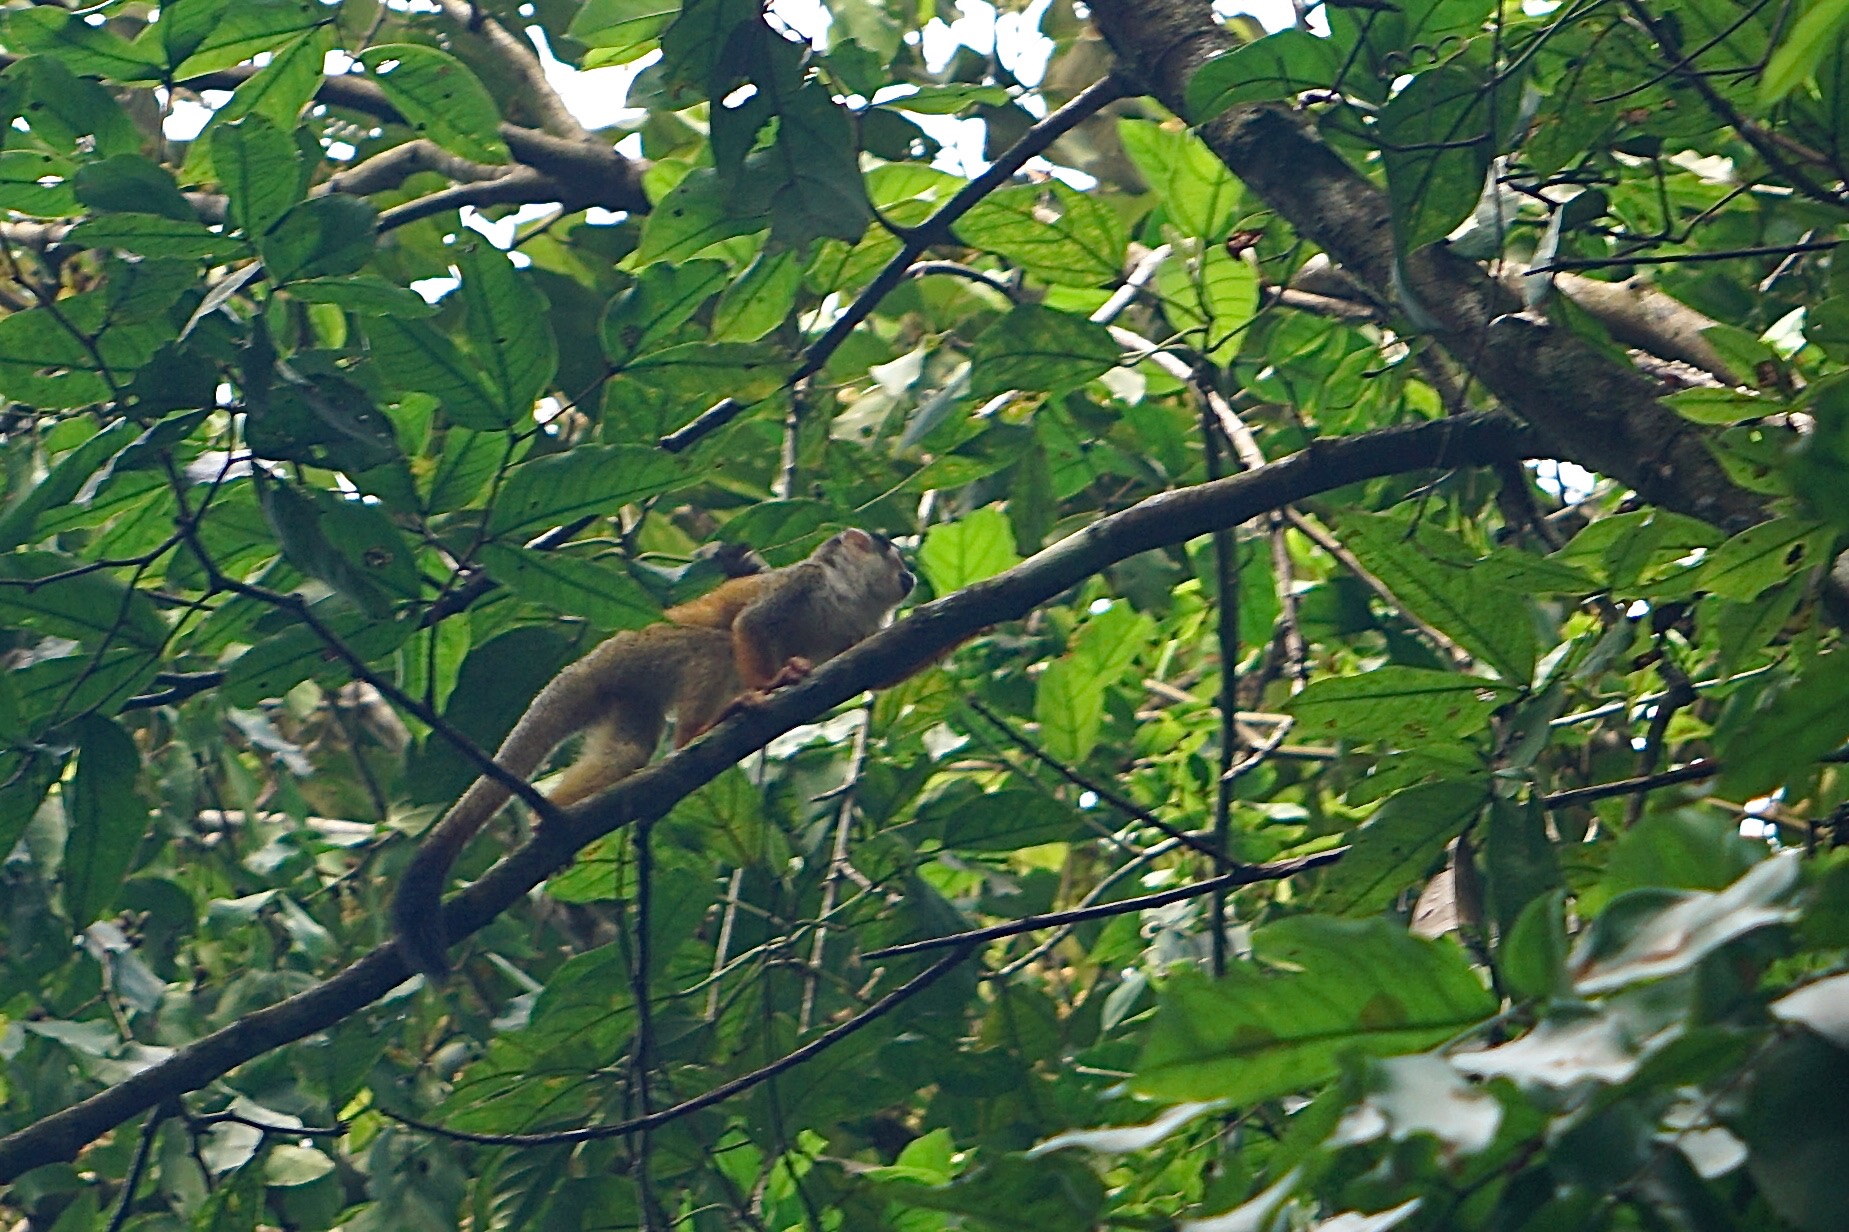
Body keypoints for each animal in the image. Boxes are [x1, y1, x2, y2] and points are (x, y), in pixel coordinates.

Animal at [391, 528, 916, 978]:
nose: (911, 572)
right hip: (647, 647)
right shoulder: (802, 581)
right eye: (893, 552)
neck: (845, 594)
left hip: (627, 694)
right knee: (714, 645)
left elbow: (881, 671)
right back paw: (700, 730)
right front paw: (772, 682)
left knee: (627, 751)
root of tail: (591, 660)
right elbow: (752, 623)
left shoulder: (857, 630)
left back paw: (553, 817)